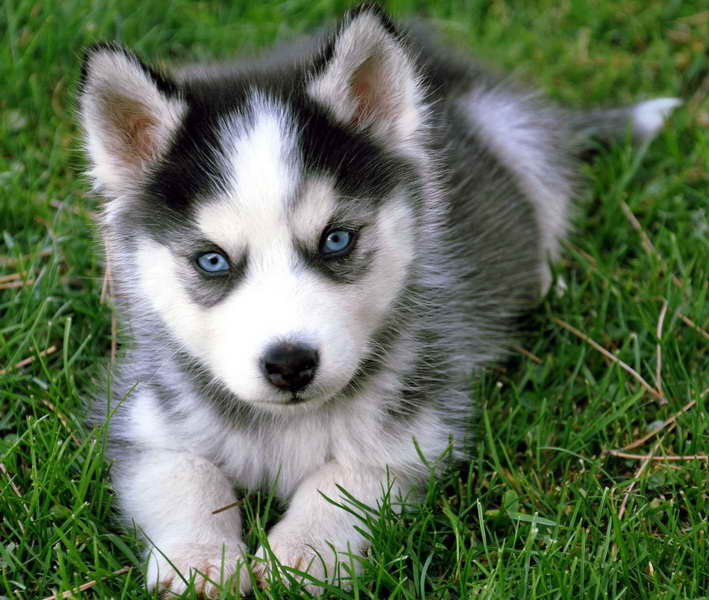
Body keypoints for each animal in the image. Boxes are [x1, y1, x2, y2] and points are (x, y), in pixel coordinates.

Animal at [79, 3, 680, 596]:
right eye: (212, 261)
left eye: (336, 239)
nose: (290, 364)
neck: (291, 425)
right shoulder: (143, 414)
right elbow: (185, 473)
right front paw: (198, 559)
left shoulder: (419, 424)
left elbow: (346, 477)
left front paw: (302, 554)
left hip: (516, 136)